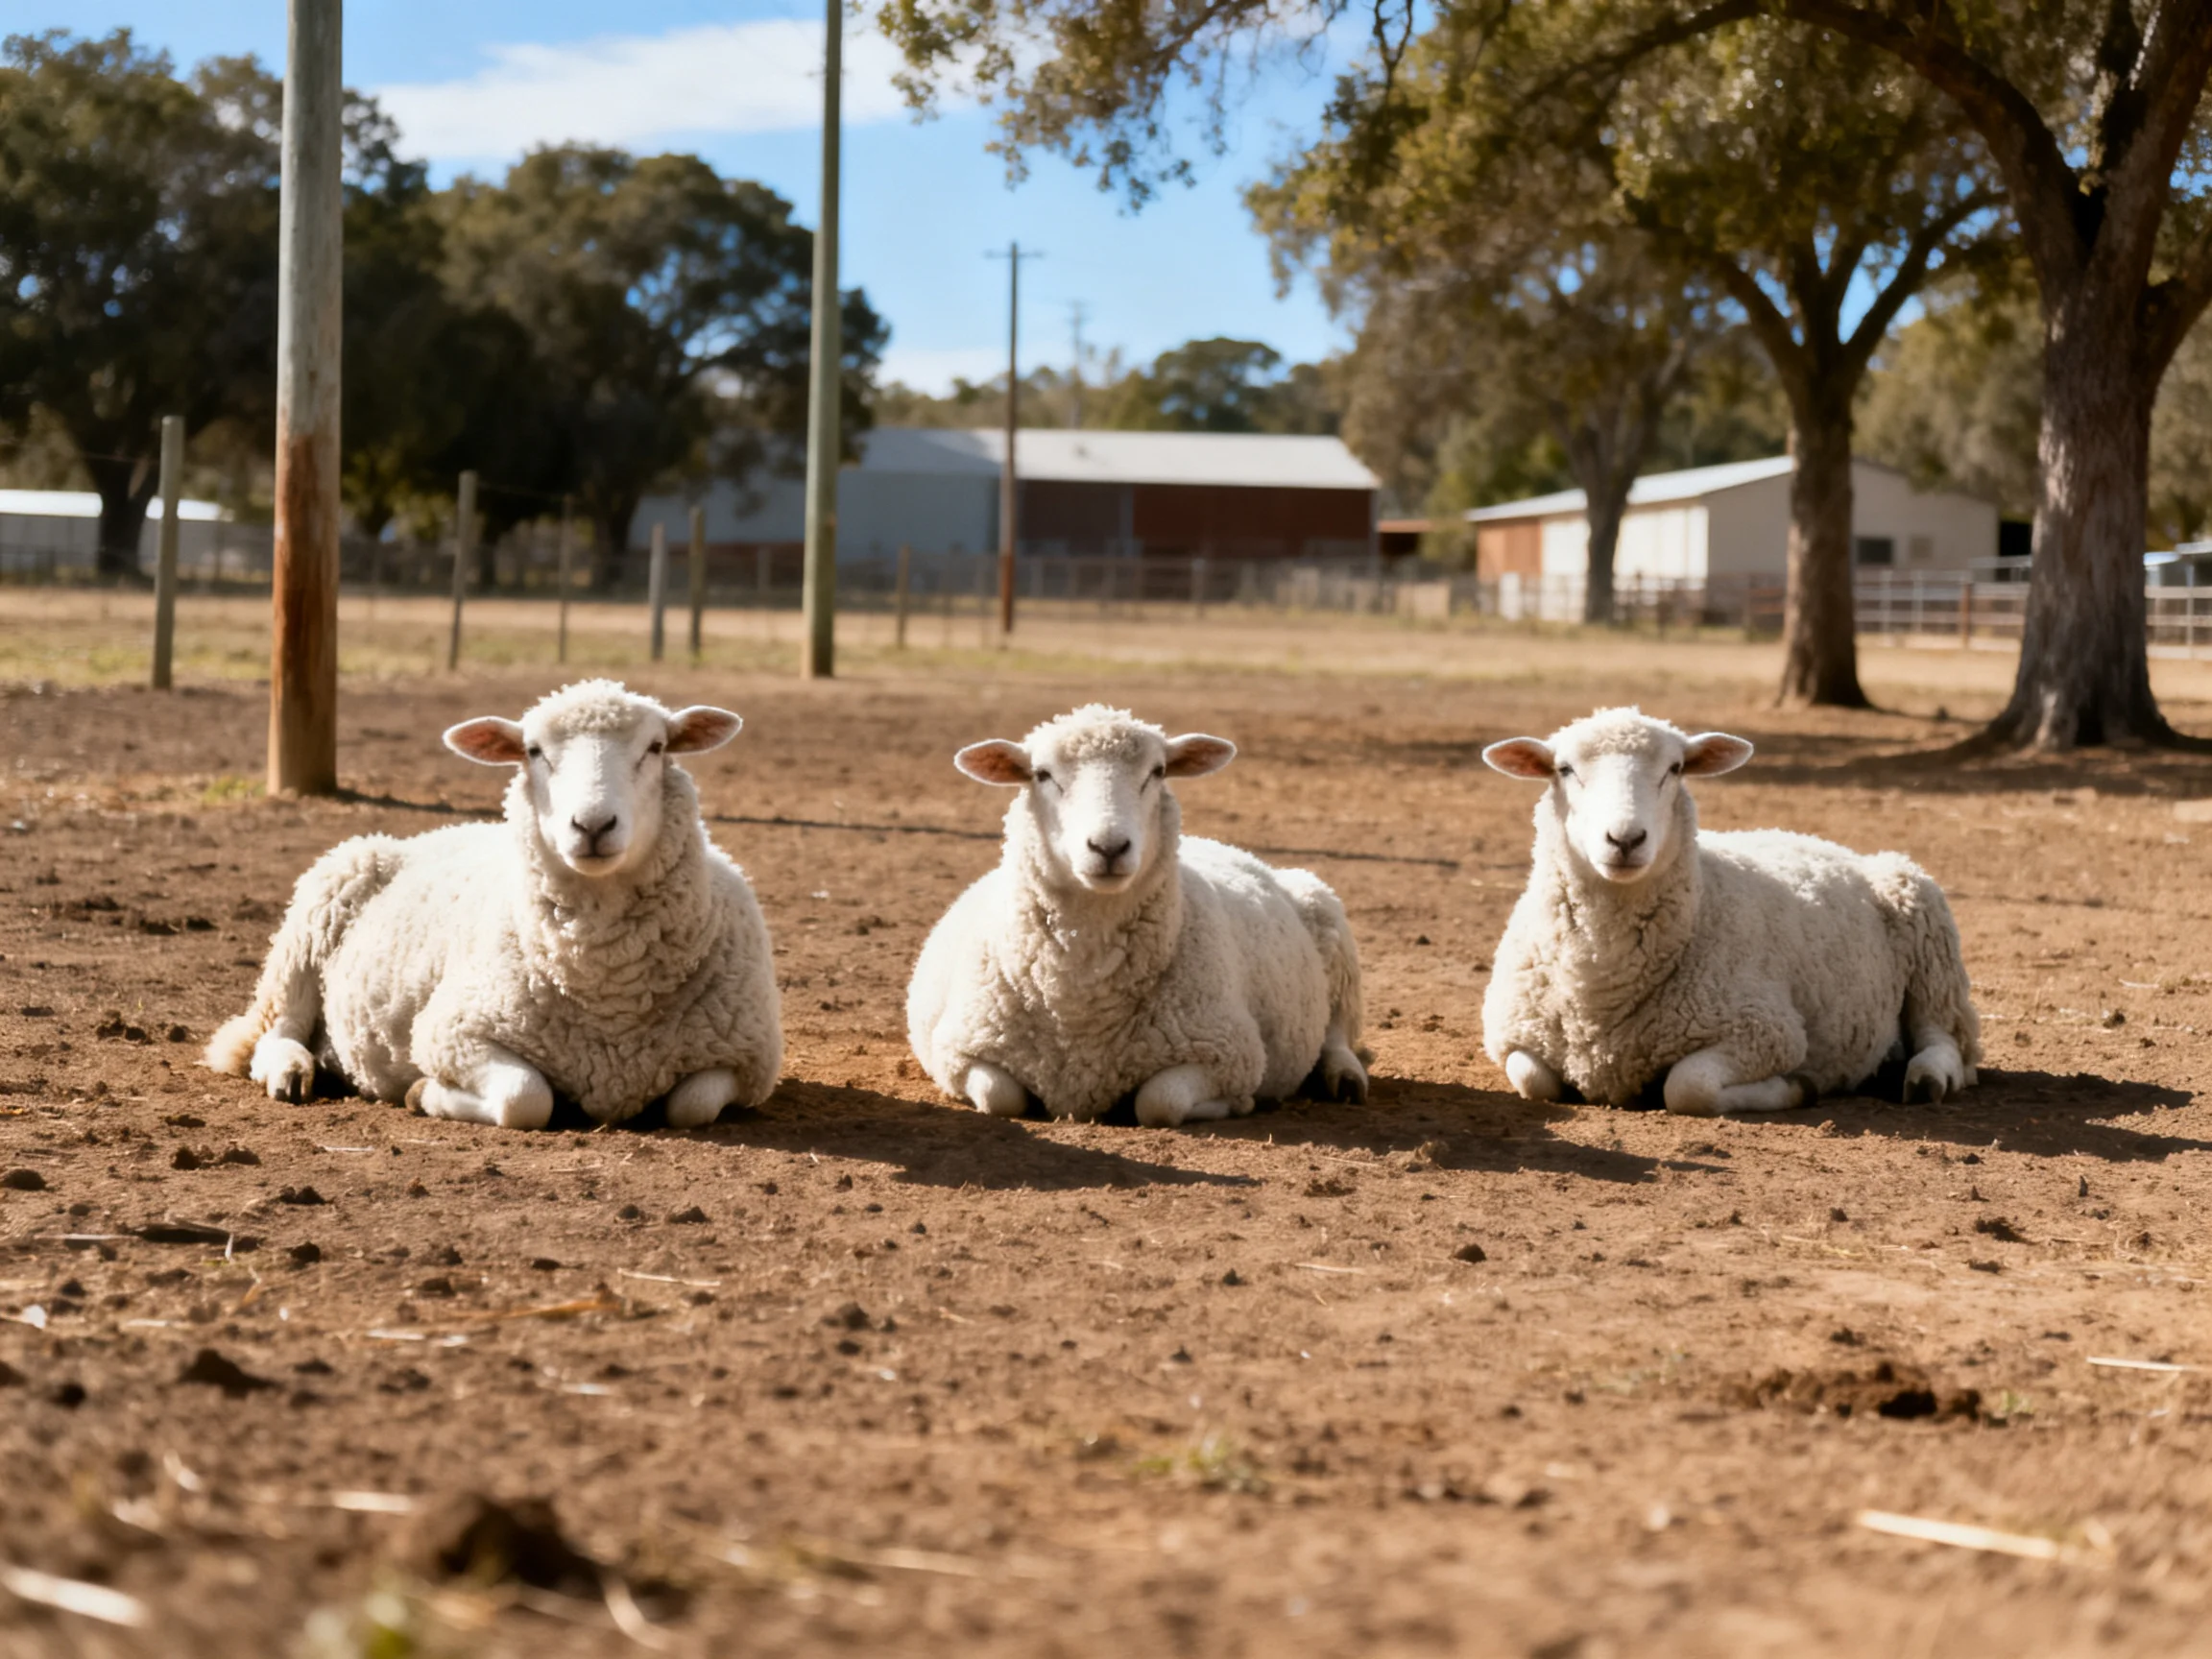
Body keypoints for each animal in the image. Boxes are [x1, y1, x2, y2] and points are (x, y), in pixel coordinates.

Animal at [204, 679, 783, 1130]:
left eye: (657, 747)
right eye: (533, 751)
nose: (593, 825)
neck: (611, 999)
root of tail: (424, 834)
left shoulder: (751, 1060)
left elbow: (692, 1105)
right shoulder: (452, 1032)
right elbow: (526, 1098)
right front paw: (423, 1093)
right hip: (309, 926)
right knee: (273, 1030)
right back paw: (290, 1070)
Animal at [906, 704, 1368, 1127]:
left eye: (1158, 771)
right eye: (1042, 774)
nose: (1109, 847)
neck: (1081, 1002)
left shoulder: (1229, 1053)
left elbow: (1159, 1103)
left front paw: (1231, 1105)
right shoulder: (959, 1050)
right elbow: (1000, 1097)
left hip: (1327, 918)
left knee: (1337, 1030)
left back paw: (1345, 1077)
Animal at [1481, 706, 1980, 1117]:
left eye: (1675, 769)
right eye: (1564, 769)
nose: (1625, 839)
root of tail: (1828, 843)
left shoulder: (1767, 1032)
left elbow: (1689, 1087)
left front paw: (1798, 1088)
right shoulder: (1511, 1034)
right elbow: (1534, 1079)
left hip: (1928, 934)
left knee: (1944, 1035)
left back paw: (1927, 1077)